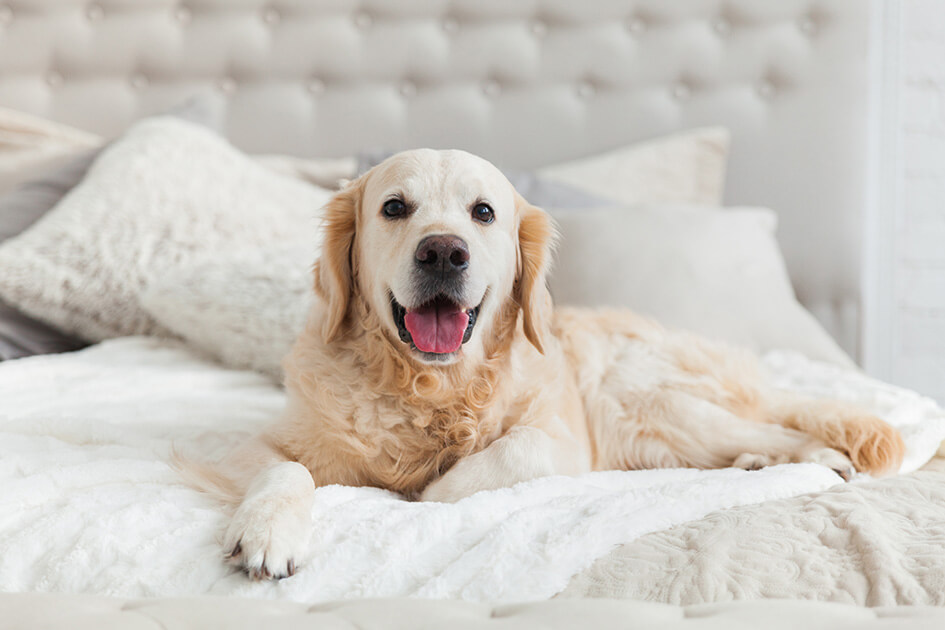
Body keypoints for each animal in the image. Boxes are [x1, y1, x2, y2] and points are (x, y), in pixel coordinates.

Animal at [188, 148, 904, 584]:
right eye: (394, 207)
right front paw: (267, 531)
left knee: (773, 424)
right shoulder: (257, 445)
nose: (443, 252)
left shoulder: (565, 443)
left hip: (650, 407)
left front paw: (426, 494)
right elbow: (286, 469)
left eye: (483, 212)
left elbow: (507, 454)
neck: (433, 387)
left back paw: (817, 457)